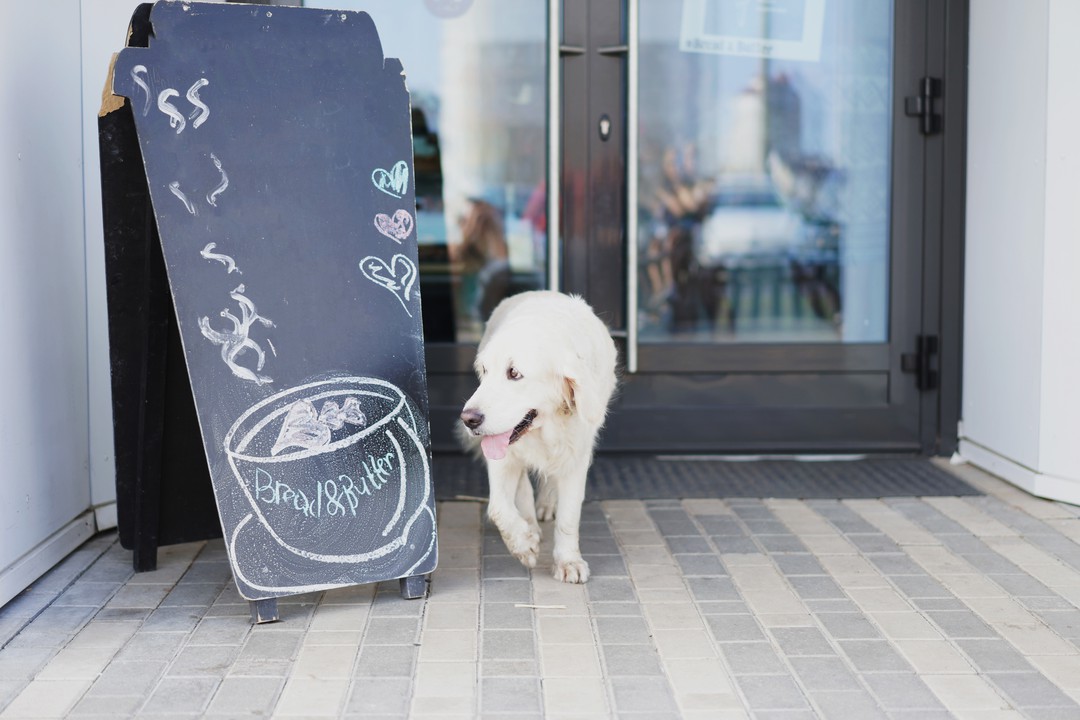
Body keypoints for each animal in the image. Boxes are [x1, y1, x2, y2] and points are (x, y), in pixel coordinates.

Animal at [460, 289, 622, 582]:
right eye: (485, 371)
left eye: (514, 373)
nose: (468, 419)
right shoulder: (502, 456)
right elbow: (499, 508)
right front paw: (524, 544)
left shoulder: (576, 457)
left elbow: (569, 518)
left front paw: (568, 561)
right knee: (522, 488)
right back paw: (530, 526)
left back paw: (546, 505)